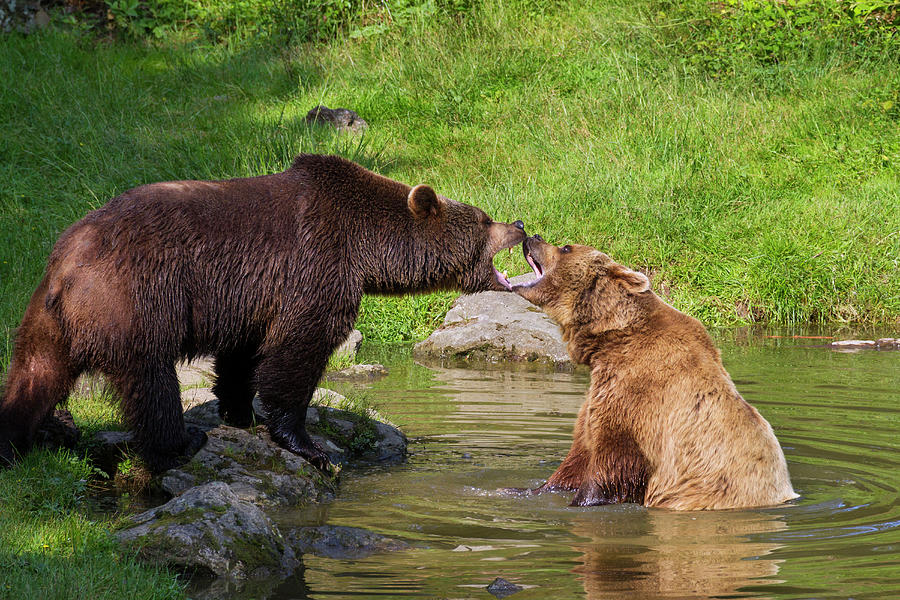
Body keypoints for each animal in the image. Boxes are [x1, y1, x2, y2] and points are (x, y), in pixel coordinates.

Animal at [0, 155, 524, 474]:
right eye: (484, 219)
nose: (519, 223)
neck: (367, 246)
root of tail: (68, 260)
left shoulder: (253, 297)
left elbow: (242, 355)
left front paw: (240, 410)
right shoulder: (316, 269)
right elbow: (297, 354)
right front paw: (309, 445)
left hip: (48, 318)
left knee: (36, 373)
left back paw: (19, 438)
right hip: (135, 298)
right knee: (150, 376)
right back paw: (182, 441)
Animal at [512, 237, 796, 508]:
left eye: (566, 247)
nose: (533, 235)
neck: (611, 339)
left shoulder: (637, 395)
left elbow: (610, 461)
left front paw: (582, 500)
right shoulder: (598, 393)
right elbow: (577, 456)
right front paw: (521, 489)